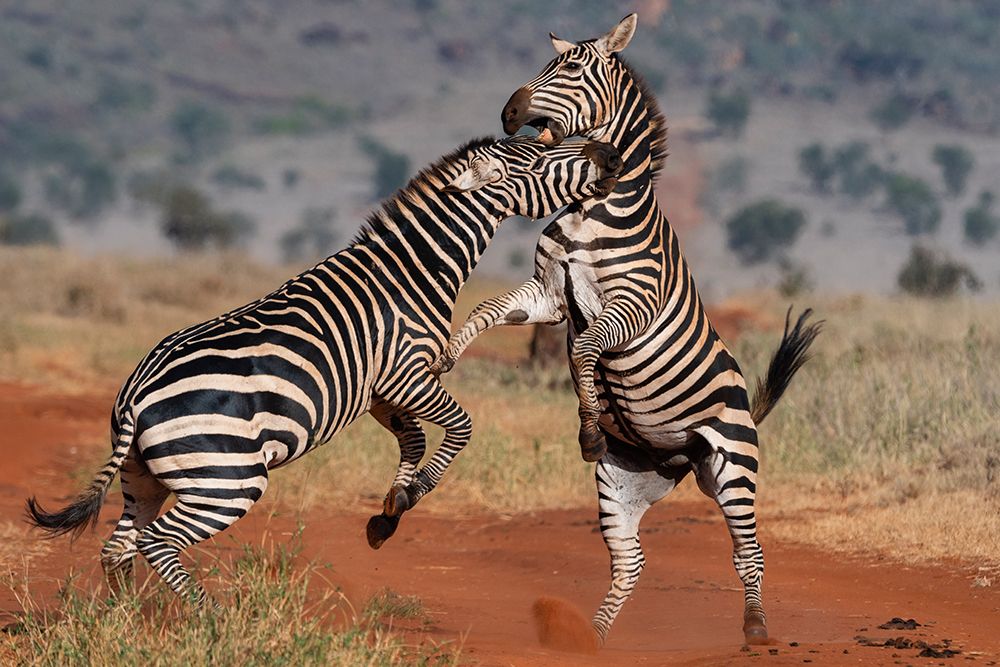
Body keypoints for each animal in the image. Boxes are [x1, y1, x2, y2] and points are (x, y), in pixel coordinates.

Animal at [26, 134, 623, 604]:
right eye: (542, 157)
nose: (610, 154)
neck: (411, 272)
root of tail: (135, 394)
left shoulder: (379, 390)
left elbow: (412, 439)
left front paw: (390, 511)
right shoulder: (407, 373)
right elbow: (460, 427)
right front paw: (411, 495)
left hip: (144, 477)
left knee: (118, 546)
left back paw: (129, 620)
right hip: (227, 479)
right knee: (159, 543)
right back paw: (209, 618)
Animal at [429, 15, 821, 646]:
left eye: (569, 67)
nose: (508, 113)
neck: (592, 210)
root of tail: (681, 457)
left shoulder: (631, 306)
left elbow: (585, 350)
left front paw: (589, 425)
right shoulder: (548, 295)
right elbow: (488, 309)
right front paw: (445, 355)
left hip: (734, 467)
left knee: (748, 551)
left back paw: (756, 628)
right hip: (622, 484)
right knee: (630, 560)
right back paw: (589, 638)